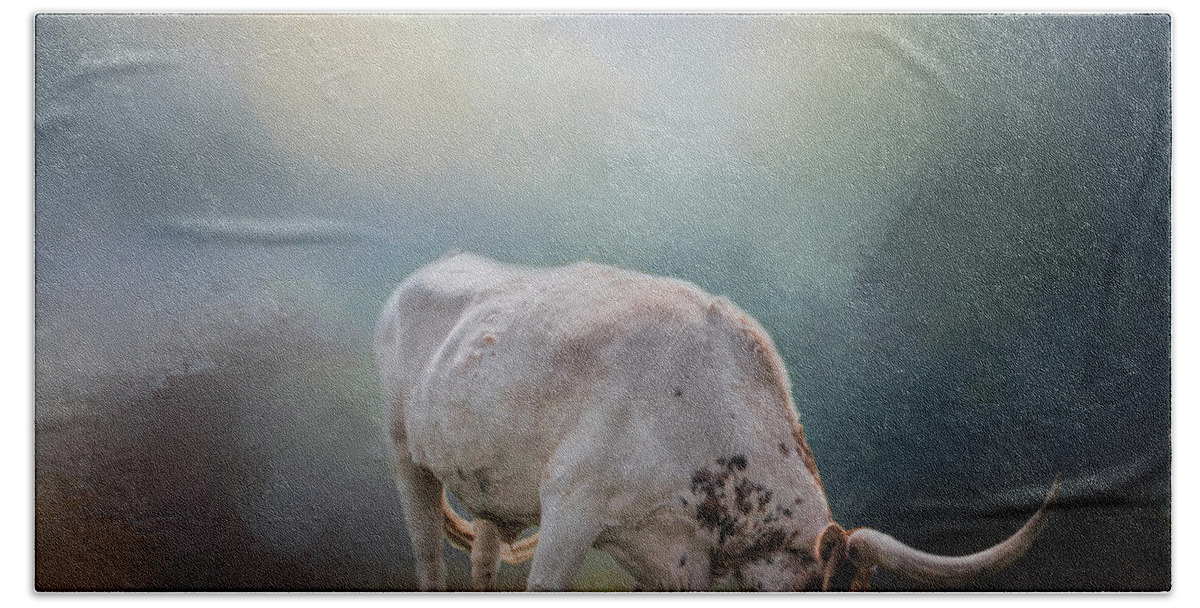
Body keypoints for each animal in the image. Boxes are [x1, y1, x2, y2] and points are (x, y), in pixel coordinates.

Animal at [376, 251, 1060, 590]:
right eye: (815, 590)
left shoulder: (676, 563)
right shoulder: (572, 509)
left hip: (490, 488)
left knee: (483, 554)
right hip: (406, 455)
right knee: (427, 558)